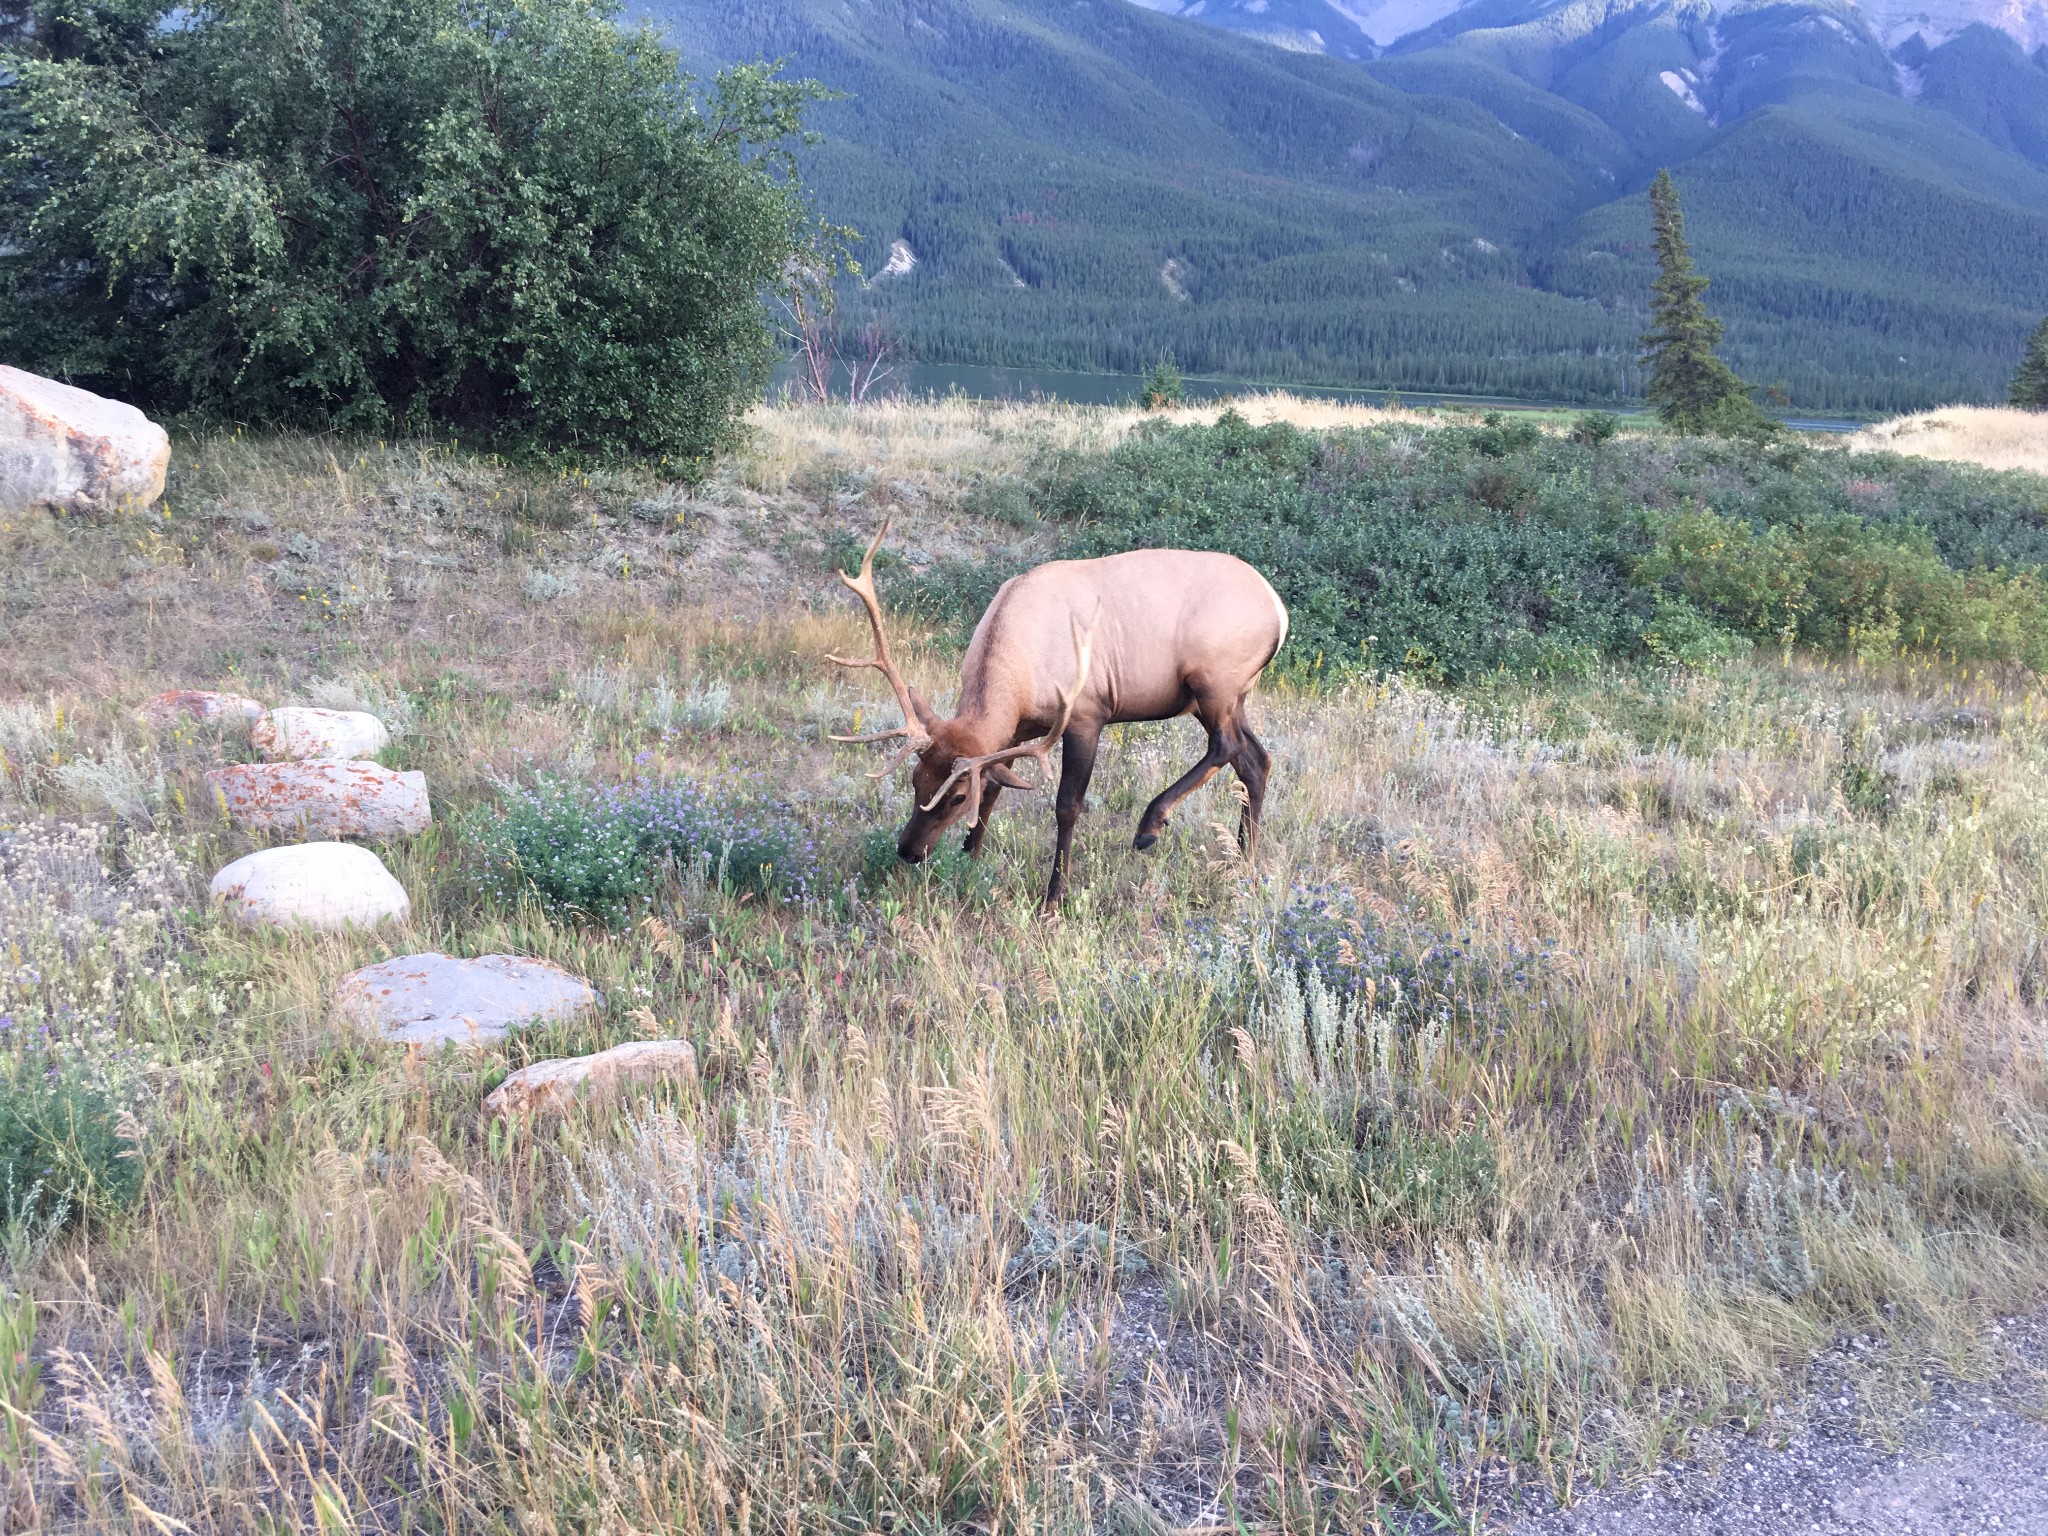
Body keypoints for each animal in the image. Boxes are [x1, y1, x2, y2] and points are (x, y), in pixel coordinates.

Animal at [823, 524, 1286, 909]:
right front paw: (970, 857)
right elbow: (995, 788)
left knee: (1228, 745)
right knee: (1255, 760)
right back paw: (1243, 860)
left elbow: (1067, 806)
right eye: (915, 779)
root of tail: (1279, 611)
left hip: (1213, 681)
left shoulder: (1086, 714)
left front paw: (1054, 895)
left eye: (956, 797)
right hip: (1227, 696)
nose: (909, 850)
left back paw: (1151, 825)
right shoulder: (1016, 731)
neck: (1019, 674)